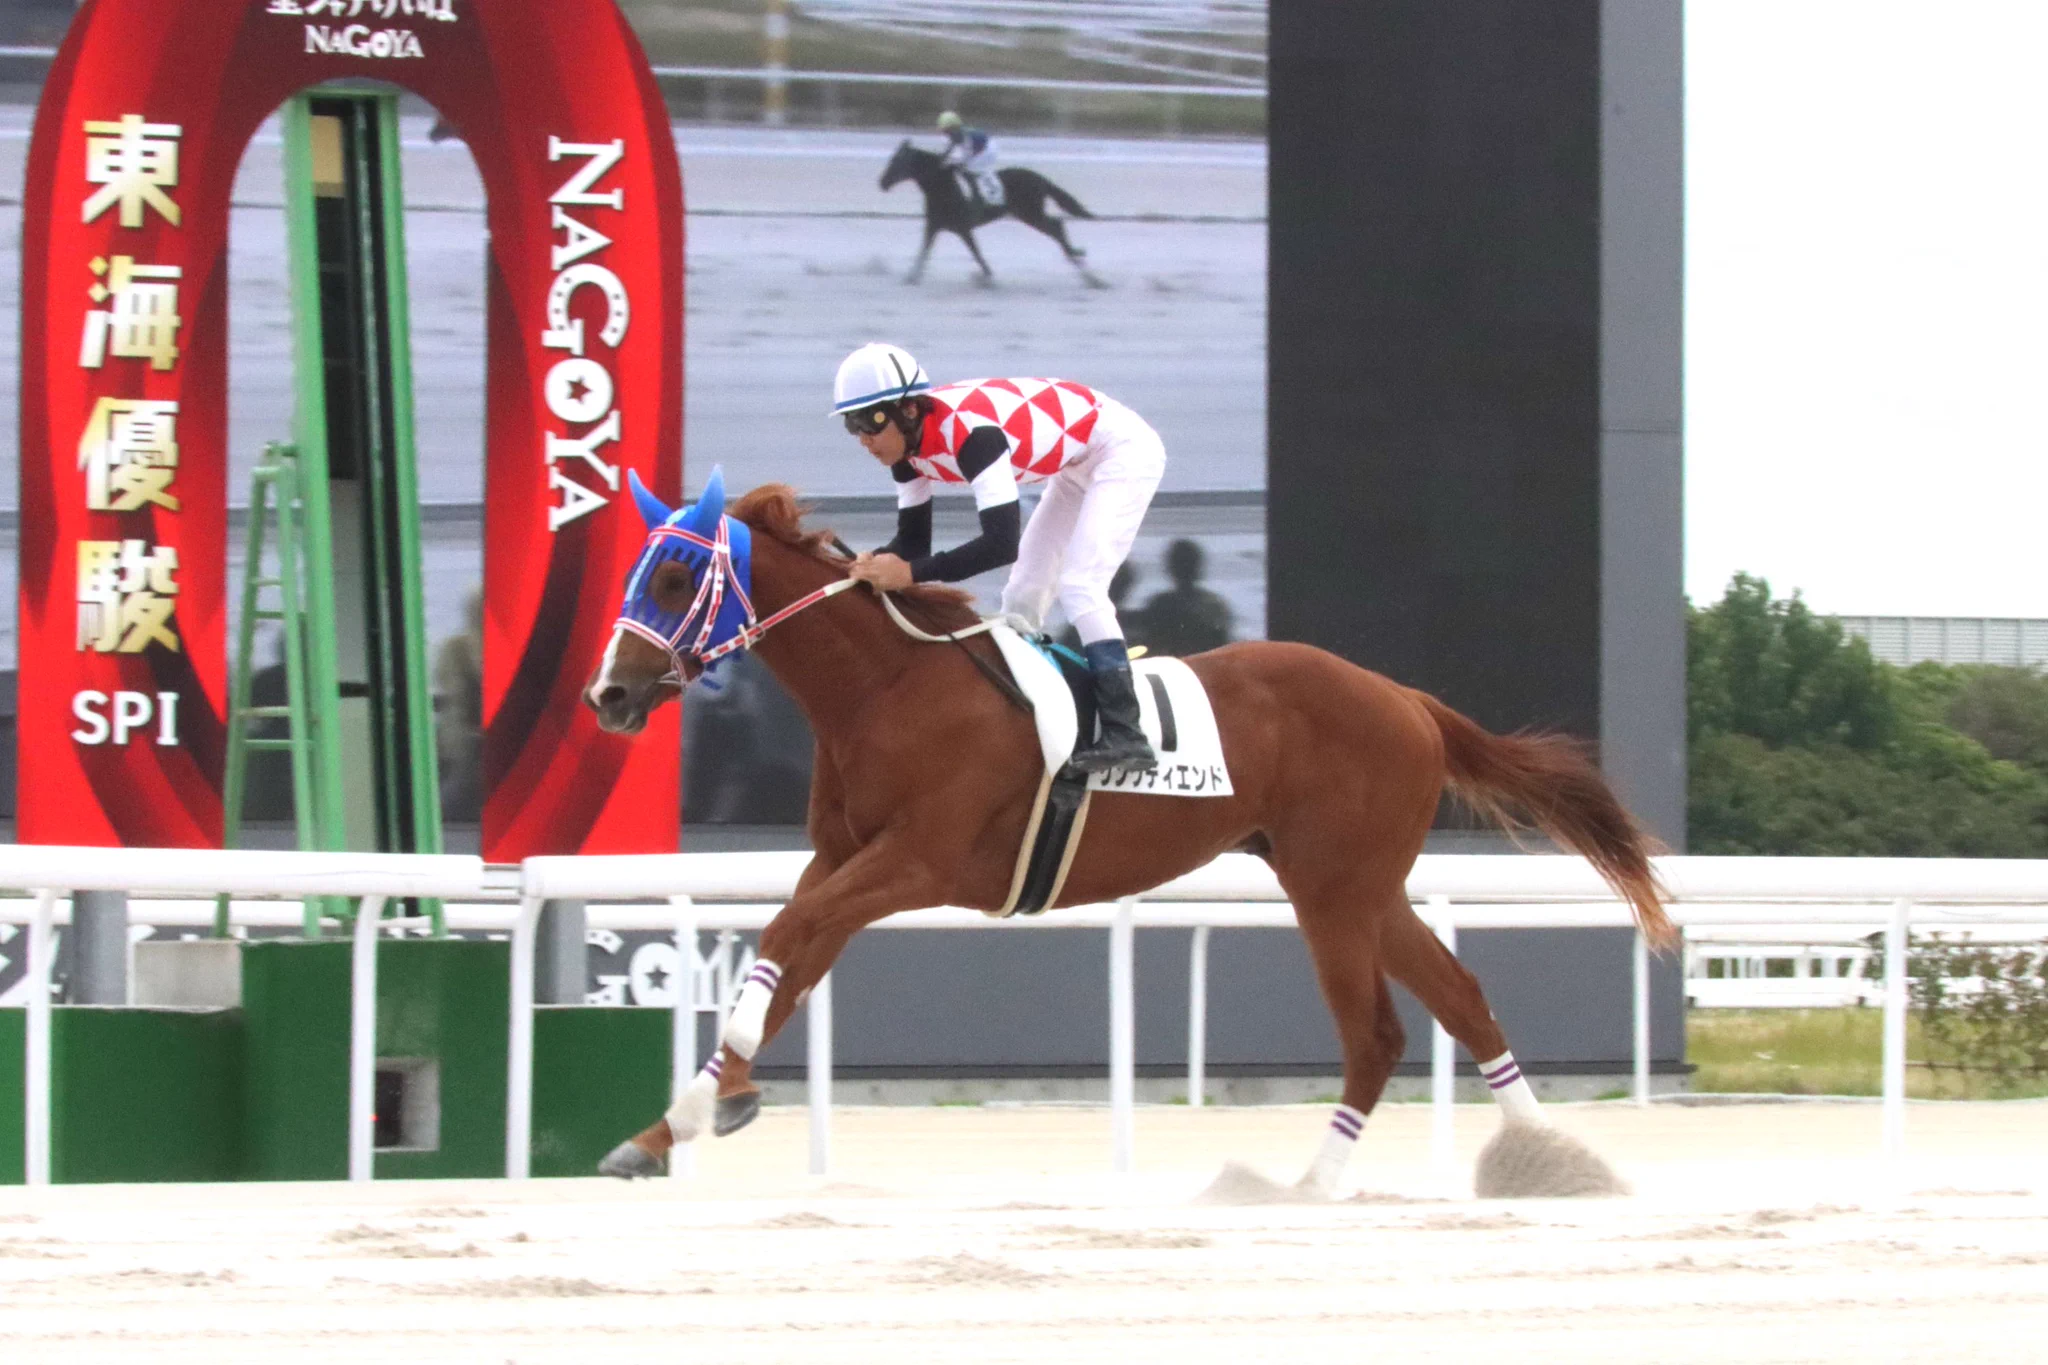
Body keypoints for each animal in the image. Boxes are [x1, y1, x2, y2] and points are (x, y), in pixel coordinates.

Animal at [584, 471, 1674, 1197]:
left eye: (675, 577)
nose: (609, 695)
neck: (886, 688)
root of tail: (1408, 700)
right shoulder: (843, 858)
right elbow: (790, 957)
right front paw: (672, 1123)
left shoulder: (918, 863)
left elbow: (783, 940)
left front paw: (707, 1100)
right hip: (1362, 885)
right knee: (1459, 999)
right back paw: (1547, 1165)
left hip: (1333, 888)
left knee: (1378, 1030)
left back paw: (1310, 1190)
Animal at [879, 140, 1102, 286]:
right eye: (891, 159)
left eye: (896, 162)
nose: (882, 183)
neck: (943, 187)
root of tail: (1039, 178)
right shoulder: (934, 225)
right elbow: (924, 251)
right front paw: (911, 277)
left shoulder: (963, 228)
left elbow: (976, 253)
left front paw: (987, 278)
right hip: (1028, 214)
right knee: (1056, 227)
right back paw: (1078, 258)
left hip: (1030, 213)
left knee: (1056, 226)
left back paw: (1080, 261)